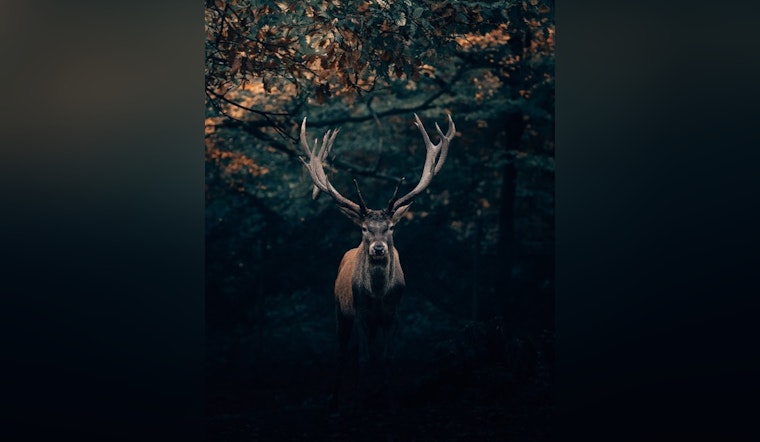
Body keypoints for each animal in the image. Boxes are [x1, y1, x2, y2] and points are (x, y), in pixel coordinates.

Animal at [299, 113, 455, 413]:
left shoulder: (393, 314)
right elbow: (363, 357)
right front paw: (359, 402)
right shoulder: (361, 313)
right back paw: (335, 401)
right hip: (340, 310)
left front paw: (390, 402)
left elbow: (387, 357)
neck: (379, 295)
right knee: (342, 351)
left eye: (391, 227)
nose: (379, 248)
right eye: (364, 228)